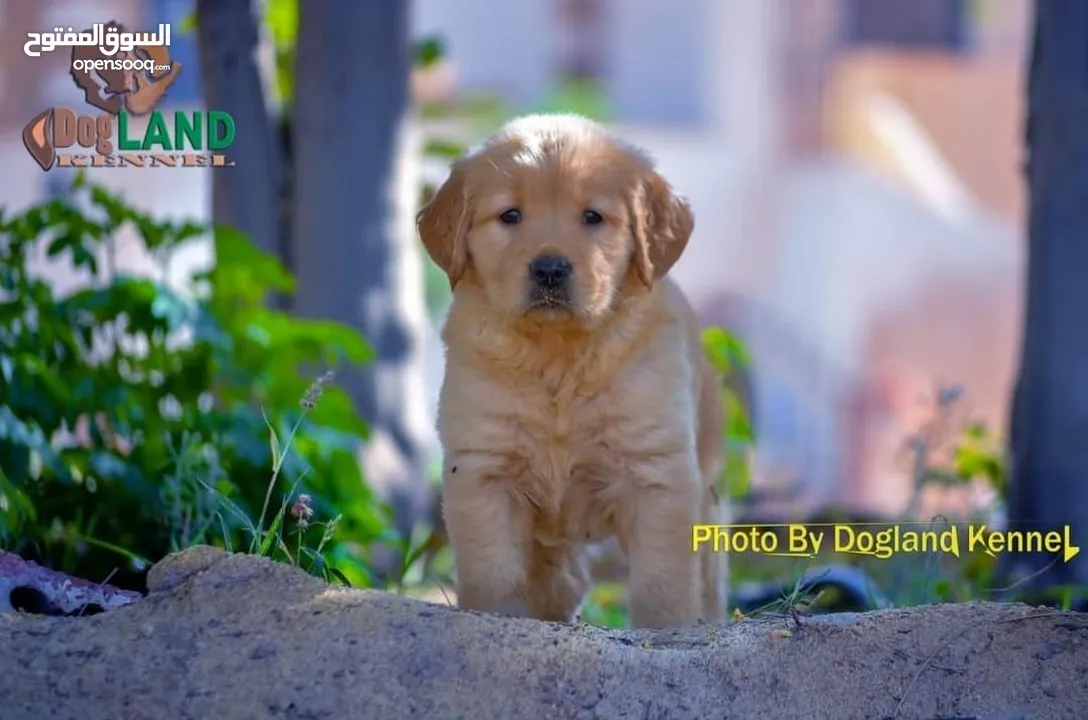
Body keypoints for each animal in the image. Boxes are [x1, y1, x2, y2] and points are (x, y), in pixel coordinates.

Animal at [415, 114, 731, 630]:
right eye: (510, 216)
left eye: (593, 217)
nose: (549, 269)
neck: (558, 355)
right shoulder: (483, 469)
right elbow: (493, 573)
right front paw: (496, 616)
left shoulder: (657, 474)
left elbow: (663, 584)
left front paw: (666, 630)